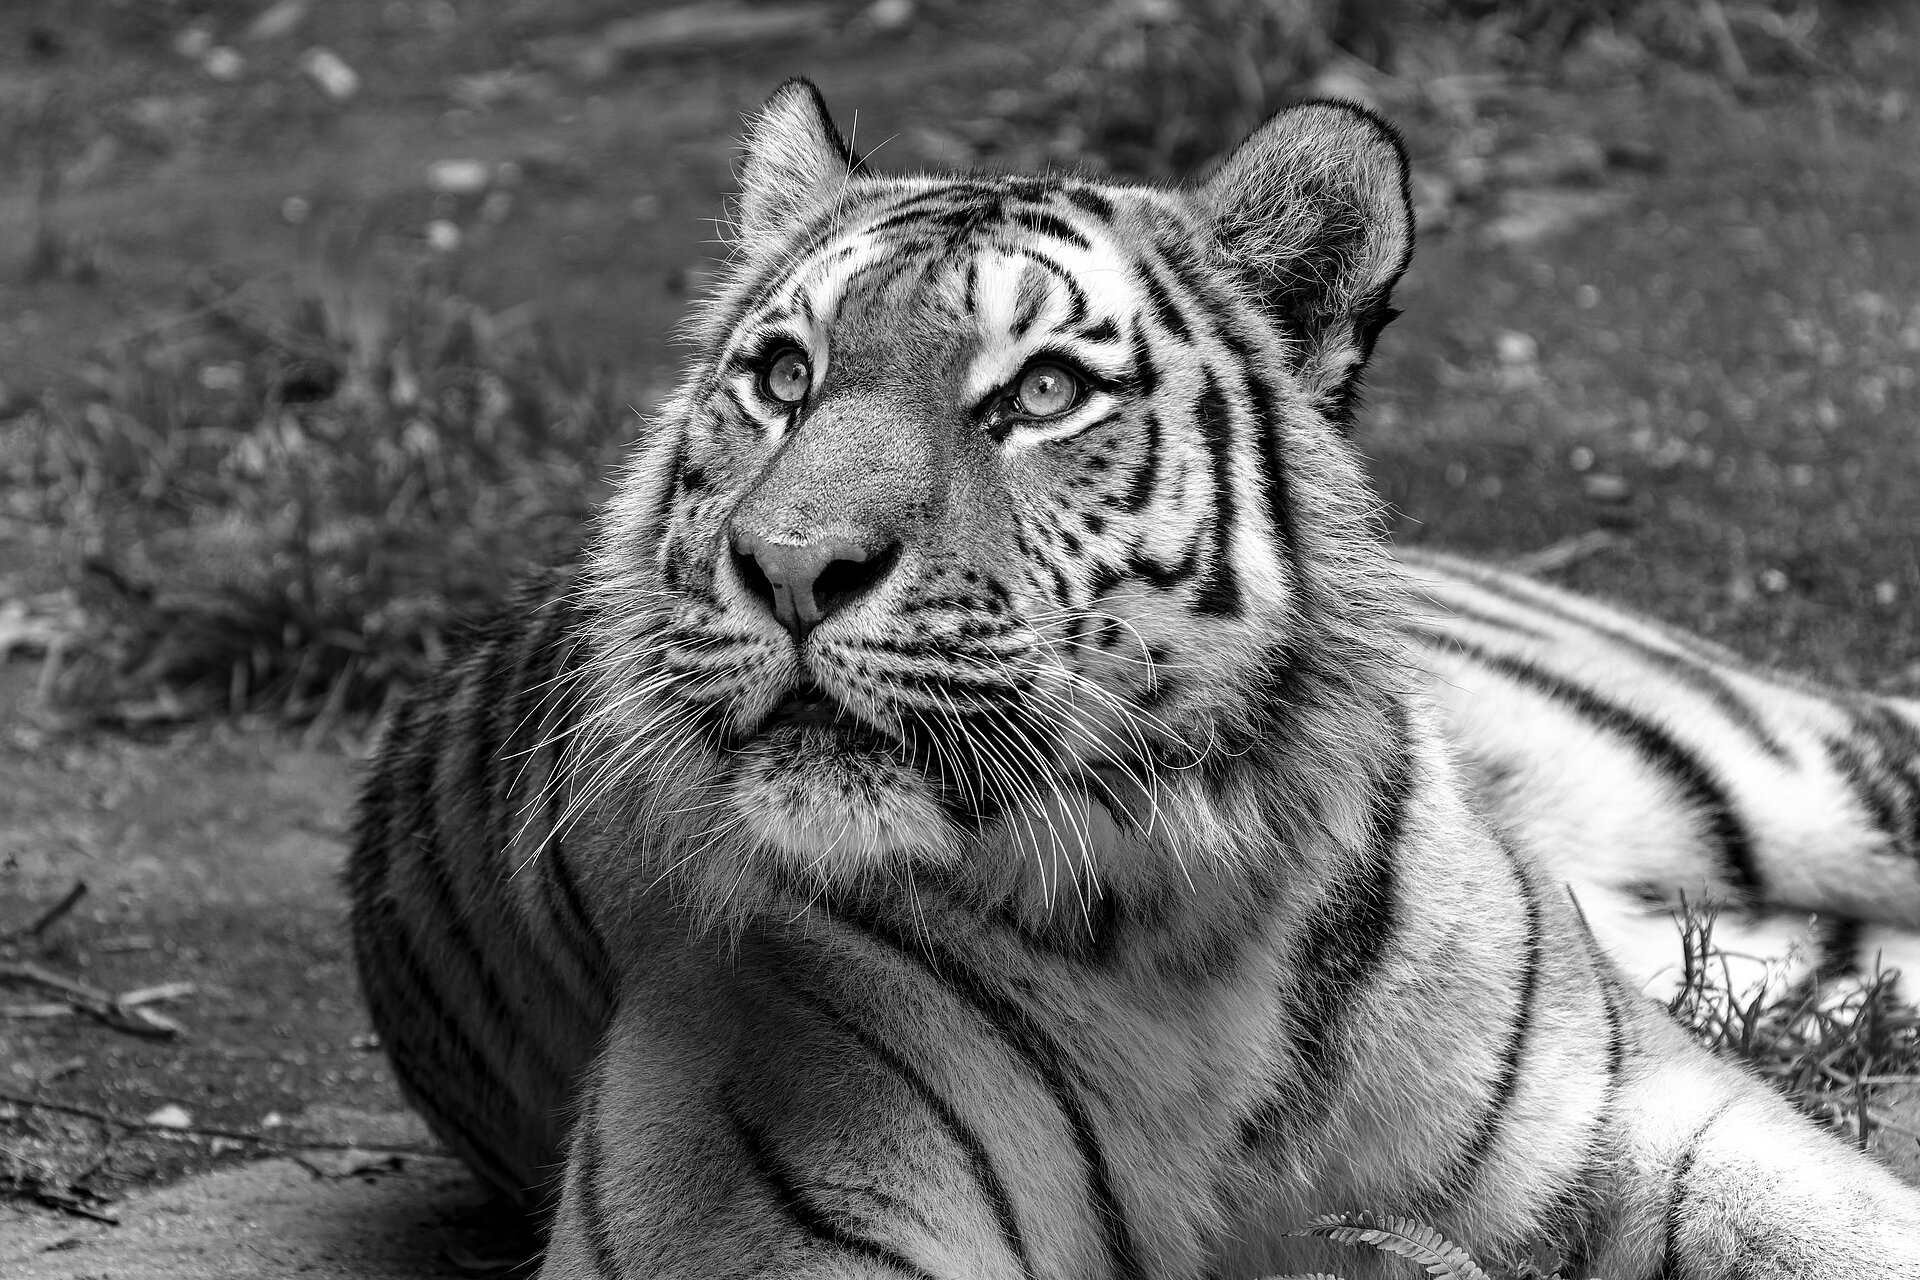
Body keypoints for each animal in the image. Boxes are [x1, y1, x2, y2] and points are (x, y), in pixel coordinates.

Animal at [347, 80, 1920, 1279]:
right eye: (784, 378)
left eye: (1042, 391)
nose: (790, 566)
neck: (1186, 915)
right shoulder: (757, 1201)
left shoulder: (1641, 1117)